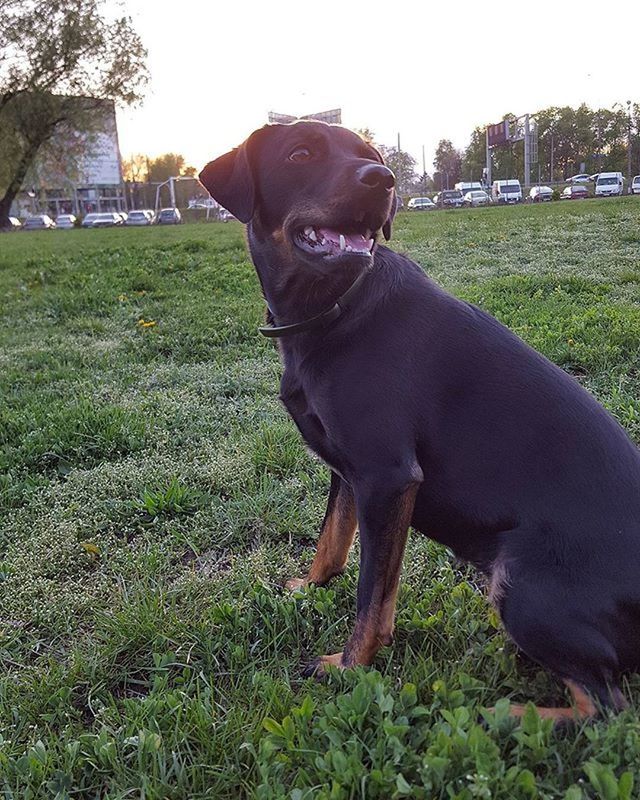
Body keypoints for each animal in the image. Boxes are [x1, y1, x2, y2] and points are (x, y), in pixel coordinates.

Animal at [200, 122, 640, 720]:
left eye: (371, 156)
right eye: (300, 153)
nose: (382, 180)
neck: (337, 304)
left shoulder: (387, 478)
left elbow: (373, 597)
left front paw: (347, 667)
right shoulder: (348, 471)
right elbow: (331, 542)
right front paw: (310, 588)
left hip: (524, 587)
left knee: (604, 707)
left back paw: (504, 714)